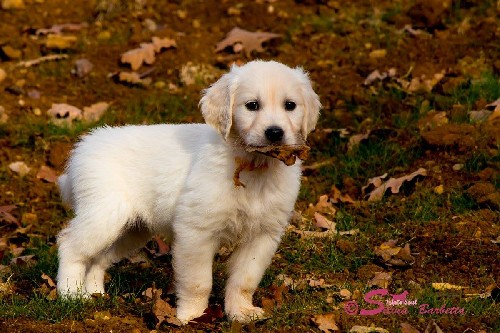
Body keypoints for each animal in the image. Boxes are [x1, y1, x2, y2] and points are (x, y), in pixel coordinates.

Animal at [55, 59, 320, 322]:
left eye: (290, 105)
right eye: (252, 105)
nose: (274, 133)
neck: (252, 166)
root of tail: (83, 147)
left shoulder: (263, 235)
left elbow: (244, 280)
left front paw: (241, 313)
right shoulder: (196, 231)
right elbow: (198, 282)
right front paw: (190, 316)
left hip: (132, 230)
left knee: (98, 260)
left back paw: (95, 294)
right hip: (106, 215)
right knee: (70, 246)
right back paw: (70, 294)